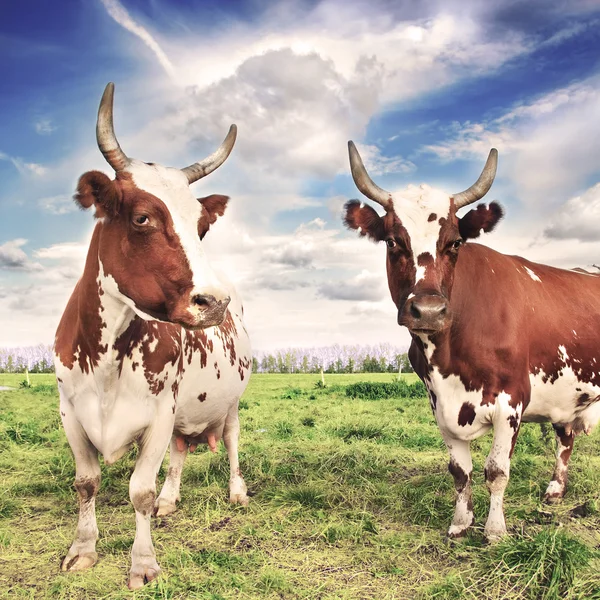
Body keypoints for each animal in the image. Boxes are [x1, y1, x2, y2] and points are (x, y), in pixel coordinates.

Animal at [55, 82, 252, 588]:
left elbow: (138, 490)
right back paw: (170, 499)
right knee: (181, 452)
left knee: (231, 442)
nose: (214, 302)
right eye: (142, 217)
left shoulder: (159, 412)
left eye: (201, 227)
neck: (105, 358)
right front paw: (82, 549)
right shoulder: (70, 411)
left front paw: (142, 563)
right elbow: (86, 482)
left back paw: (237, 490)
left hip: (231, 402)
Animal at [344, 143, 600, 540]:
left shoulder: (511, 401)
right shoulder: (439, 403)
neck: (449, 356)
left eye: (455, 243)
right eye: (392, 241)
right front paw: (460, 522)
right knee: (565, 437)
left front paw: (494, 531)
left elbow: (496, 471)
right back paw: (555, 490)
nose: (428, 310)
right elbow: (459, 472)